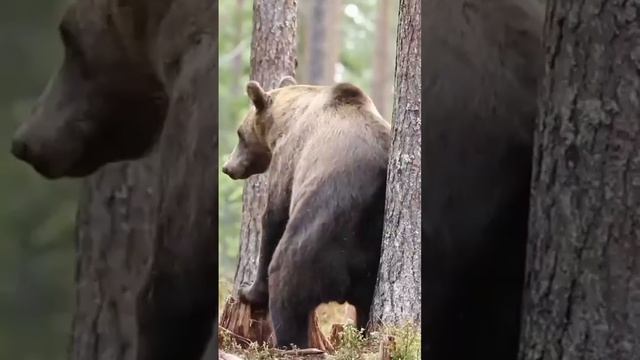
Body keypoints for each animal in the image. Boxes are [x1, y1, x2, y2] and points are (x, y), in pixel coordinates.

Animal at [222, 76, 388, 348]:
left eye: (239, 133)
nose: (228, 167)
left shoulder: (288, 160)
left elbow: (273, 218)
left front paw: (248, 290)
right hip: (371, 260)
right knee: (364, 310)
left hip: (318, 234)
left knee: (287, 286)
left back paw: (289, 342)